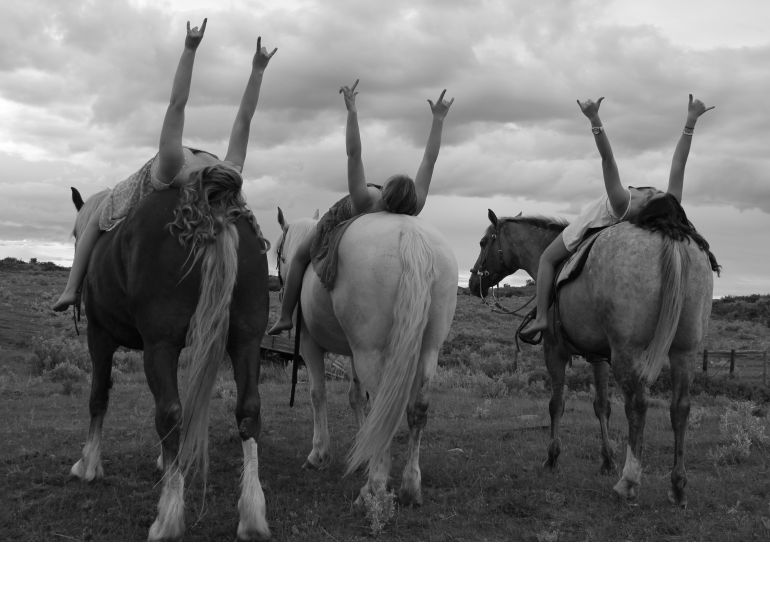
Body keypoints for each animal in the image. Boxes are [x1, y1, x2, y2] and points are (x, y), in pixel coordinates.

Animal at [66, 185, 271, 540]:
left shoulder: (101, 336)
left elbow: (98, 397)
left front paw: (89, 464)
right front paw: (165, 461)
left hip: (159, 345)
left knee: (170, 414)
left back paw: (169, 517)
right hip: (246, 341)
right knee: (247, 410)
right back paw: (252, 514)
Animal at [274, 207, 458, 505]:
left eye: (278, 255)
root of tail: (411, 234)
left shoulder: (311, 346)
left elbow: (317, 394)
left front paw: (319, 454)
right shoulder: (353, 353)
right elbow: (357, 397)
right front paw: (362, 454)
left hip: (371, 353)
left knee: (382, 409)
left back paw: (375, 487)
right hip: (428, 351)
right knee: (418, 409)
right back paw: (410, 486)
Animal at [469, 209, 713, 505]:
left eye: (483, 242)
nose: (472, 283)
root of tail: (669, 234)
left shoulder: (554, 351)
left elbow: (556, 404)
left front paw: (552, 458)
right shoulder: (598, 358)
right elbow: (601, 406)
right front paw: (607, 460)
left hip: (627, 353)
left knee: (638, 405)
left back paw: (629, 481)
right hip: (684, 352)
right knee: (680, 408)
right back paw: (677, 486)